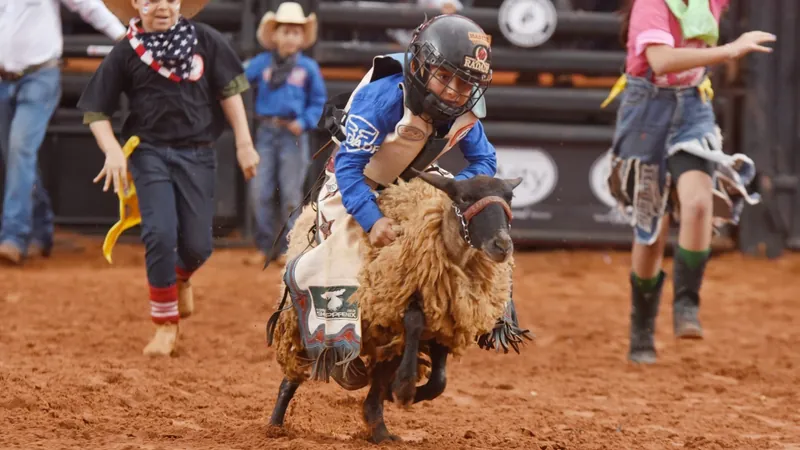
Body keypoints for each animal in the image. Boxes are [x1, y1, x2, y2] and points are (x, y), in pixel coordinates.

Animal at [268, 166, 532, 442]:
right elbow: (414, 322)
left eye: (510, 198)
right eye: (465, 198)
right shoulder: (397, 302)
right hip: (301, 322)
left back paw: (380, 430)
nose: (502, 245)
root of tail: (304, 216)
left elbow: (439, 381)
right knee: (298, 368)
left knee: (377, 381)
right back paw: (276, 424)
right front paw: (404, 388)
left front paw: (399, 393)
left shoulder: (444, 321)